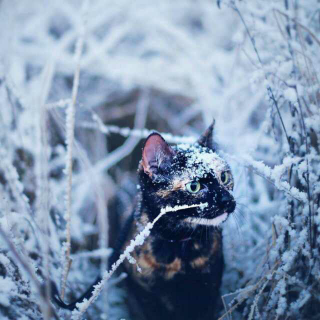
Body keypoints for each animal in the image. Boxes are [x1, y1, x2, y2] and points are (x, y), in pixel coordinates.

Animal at [53, 120, 235, 320]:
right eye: (194, 186)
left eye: (224, 177)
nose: (227, 200)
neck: (179, 248)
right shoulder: (142, 294)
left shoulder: (209, 286)